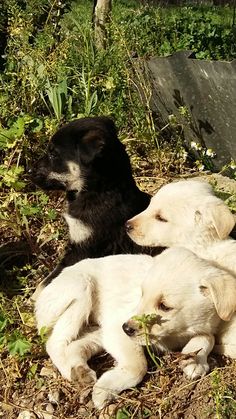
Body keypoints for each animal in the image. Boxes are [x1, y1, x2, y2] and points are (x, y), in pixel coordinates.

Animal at [35, 248, 236, 408]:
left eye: (165, 306)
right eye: (142, 294)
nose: (126, 328)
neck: (177, 333)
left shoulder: (205, 328)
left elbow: (208, 338)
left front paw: (195, 360)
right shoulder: (116, 329)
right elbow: (138, 366)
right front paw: (104, 390)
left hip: (97, 330)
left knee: (76, 345)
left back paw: (80, 369)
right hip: (81, 290)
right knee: (55, 342)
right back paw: (71, 371)